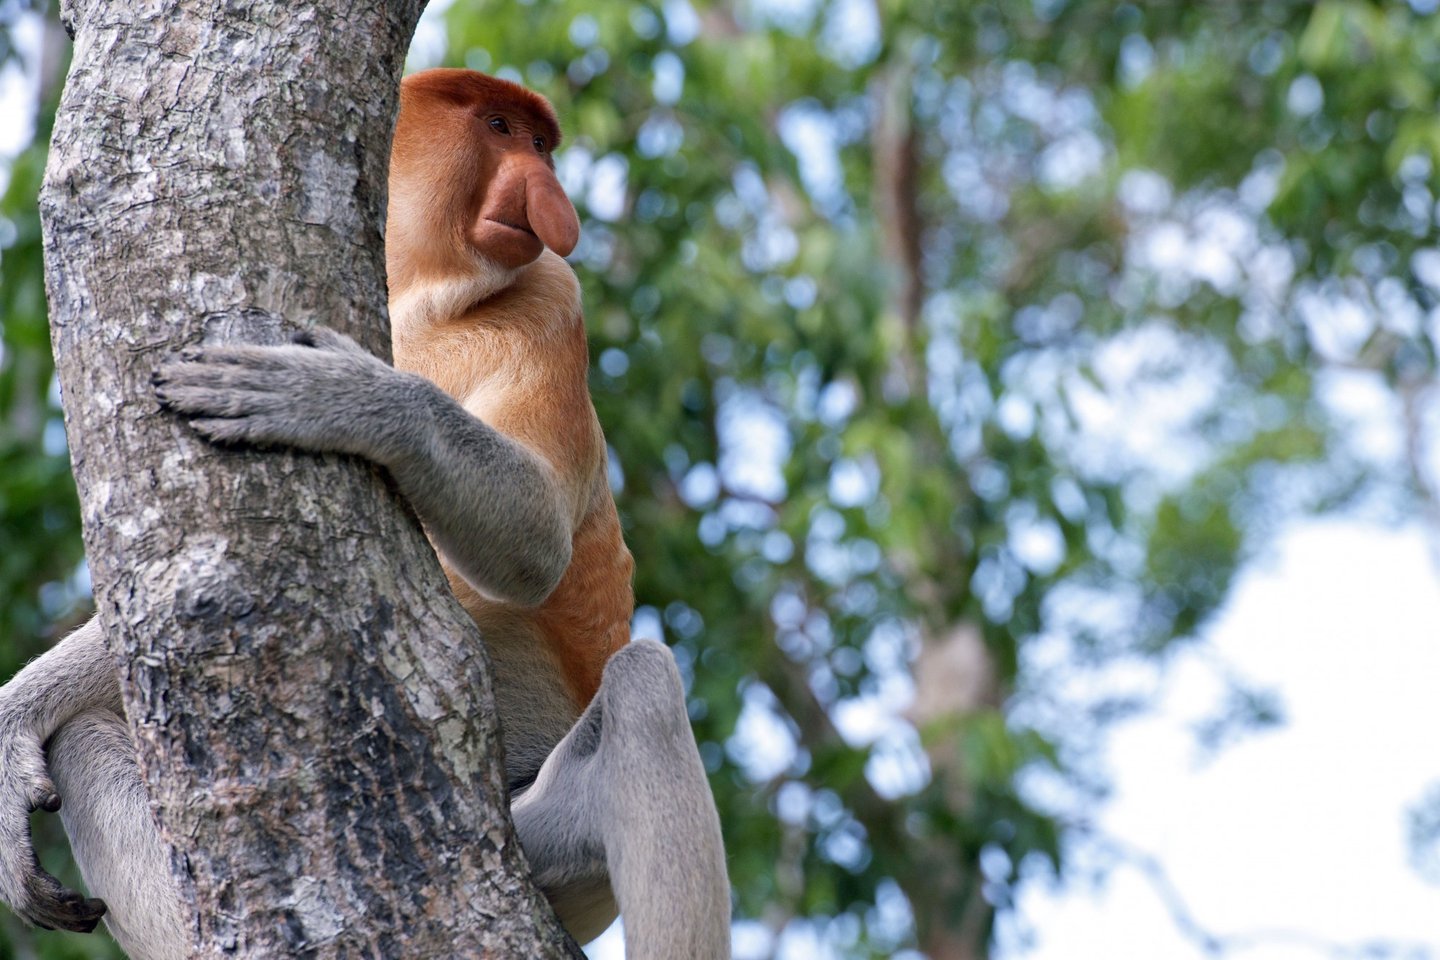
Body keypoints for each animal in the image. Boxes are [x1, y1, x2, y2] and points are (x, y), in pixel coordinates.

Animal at [0, 69, 731, 960]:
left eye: (540, 143)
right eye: (501, 129)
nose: (550, 195)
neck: (423, 298)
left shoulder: (555, 300)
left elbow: (535, 543)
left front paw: (324, 394)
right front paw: (15, 723)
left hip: (546, 843)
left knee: (642, 687)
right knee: (79, 742)